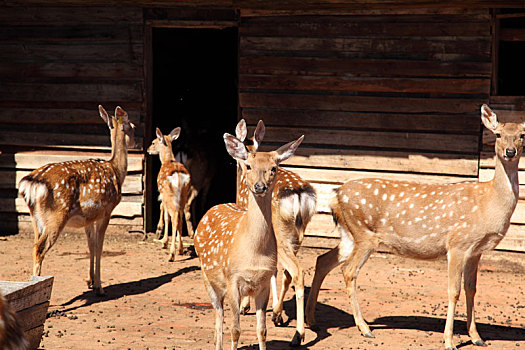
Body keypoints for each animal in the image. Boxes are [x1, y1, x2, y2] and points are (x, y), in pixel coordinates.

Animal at [18, 104, 135, 296]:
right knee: (39, 248)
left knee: (34, 244)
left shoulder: (89, 217)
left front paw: (90, 281)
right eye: (133, 126)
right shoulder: (107, 210)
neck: (117, 172)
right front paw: (100, 287)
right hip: (56, 216)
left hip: (35, 218)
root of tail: (32, 183)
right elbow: (100, 247)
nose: (136, 143)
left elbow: (91, 246)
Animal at [146, 126, 191, 260]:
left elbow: (165, 215)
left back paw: (171, 254)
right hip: (183, 195)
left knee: (174, 217)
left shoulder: (162, 192)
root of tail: (178, 176)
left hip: (169, 194)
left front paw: (163, 240)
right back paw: (180, 249)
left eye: (153, 142)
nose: (148, 150)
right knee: (180, 218)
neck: (167, 160)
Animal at [194, 132, 304, 350]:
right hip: (207, 277)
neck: (254, 253)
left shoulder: (262, 284)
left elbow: (262, 330)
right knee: (218, 315)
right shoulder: (232, 279)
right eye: (249, 165)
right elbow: (235, 330)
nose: (259, 186)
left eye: (273, 167)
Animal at [233, 120, 316, 348]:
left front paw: (245, 305)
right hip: (297, 234)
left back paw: (297, 335)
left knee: (297, 271)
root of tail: (298, 194)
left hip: (281, 233)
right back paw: (280, 315)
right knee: (289, 272)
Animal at [304, 104, 520, 350]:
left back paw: (312, 319)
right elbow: (453, 291)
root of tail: (336, 195)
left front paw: (477, 337)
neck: (488, 203)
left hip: (349, 234)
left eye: (522, 135)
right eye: (498, 134)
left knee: (322, 260)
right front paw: (449, 341)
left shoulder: (476, 251)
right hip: (364, 234)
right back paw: (365, 328)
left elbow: (471, 289)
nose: (510, 151)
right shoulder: (457, 244)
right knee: (348, 271)